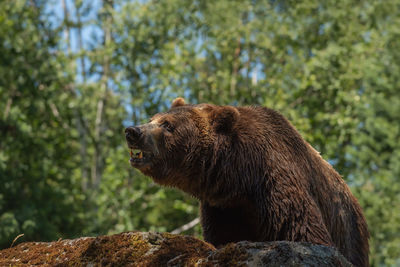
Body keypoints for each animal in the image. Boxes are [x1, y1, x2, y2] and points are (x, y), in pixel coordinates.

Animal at [124, 99, 368, 267]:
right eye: (152, 118)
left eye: (167, 125)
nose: (132, 131)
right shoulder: (223, 208)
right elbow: (223, 238)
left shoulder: (277, 182)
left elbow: (304, 231)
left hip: (349, 230)